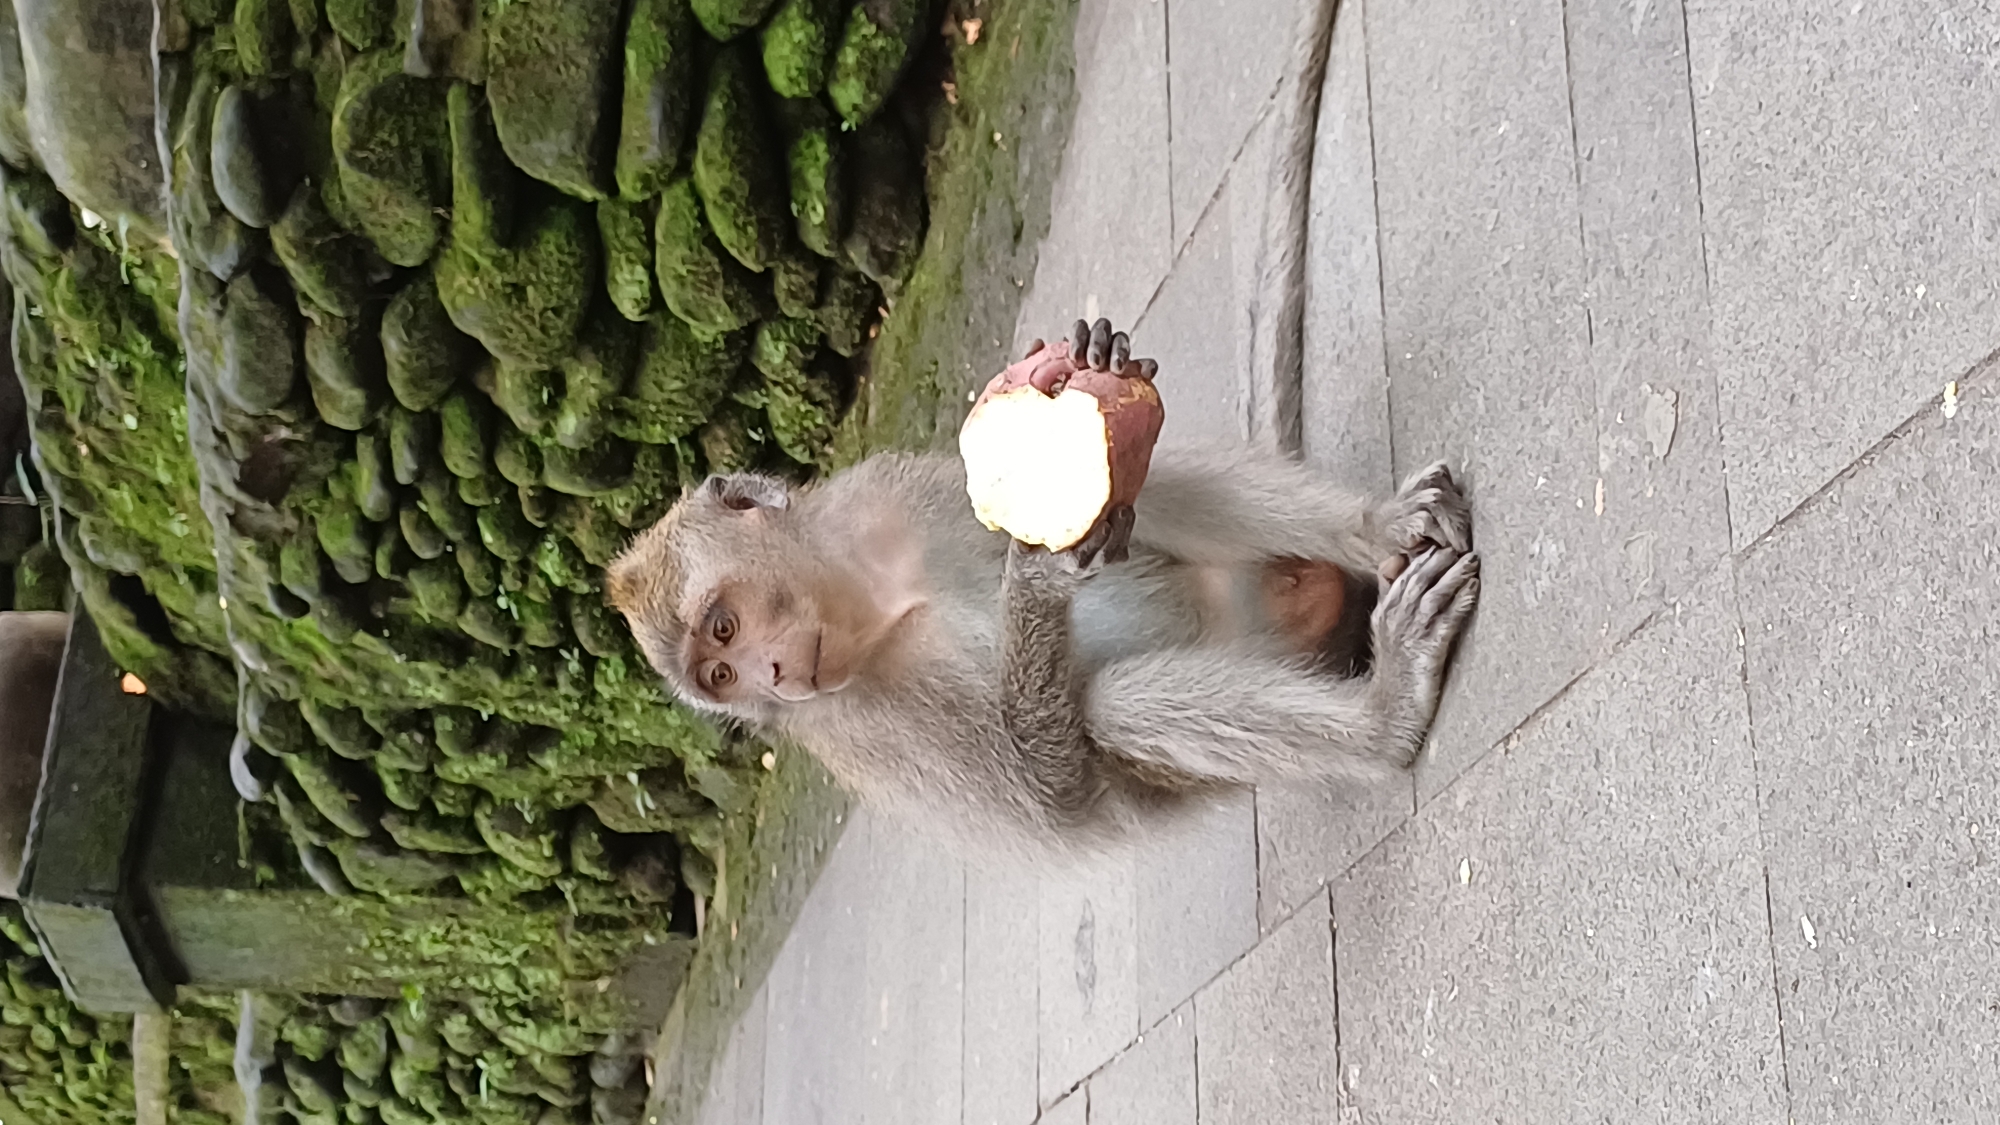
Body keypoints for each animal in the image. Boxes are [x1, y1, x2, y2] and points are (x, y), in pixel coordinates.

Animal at [606, 318, 1479, 866]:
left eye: (722, 629)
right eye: (722, 673)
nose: (775, 678)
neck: (868, 604)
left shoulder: (889, 495)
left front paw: (1081, 360)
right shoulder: (854, 724)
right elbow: (1062, 804)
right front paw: (1034, 582)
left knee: (1152, 498)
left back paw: (1377, 531)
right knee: (1114, 707)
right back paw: (1383, 720)